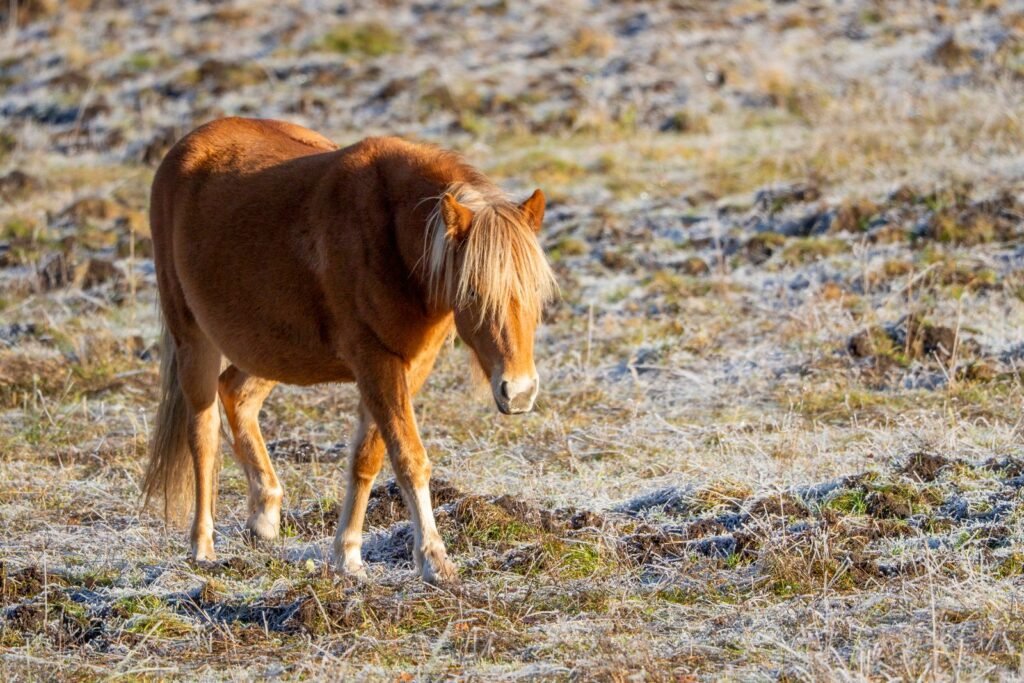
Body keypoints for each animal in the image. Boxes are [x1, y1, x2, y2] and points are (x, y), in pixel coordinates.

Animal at [142, 117, 557, 583]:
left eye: (536, 291)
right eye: (473, 292)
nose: (519, 393)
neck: (390, 236)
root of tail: (186, 147)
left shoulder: (409, 366)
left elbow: (367, 456)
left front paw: (348, 555)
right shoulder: (375, 362)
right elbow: (408, 456)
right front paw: (433, 559)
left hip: (269, 349)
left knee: (236, 393)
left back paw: (265, 513)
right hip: (193, 338)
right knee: (203, 433)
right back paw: (202, 546)